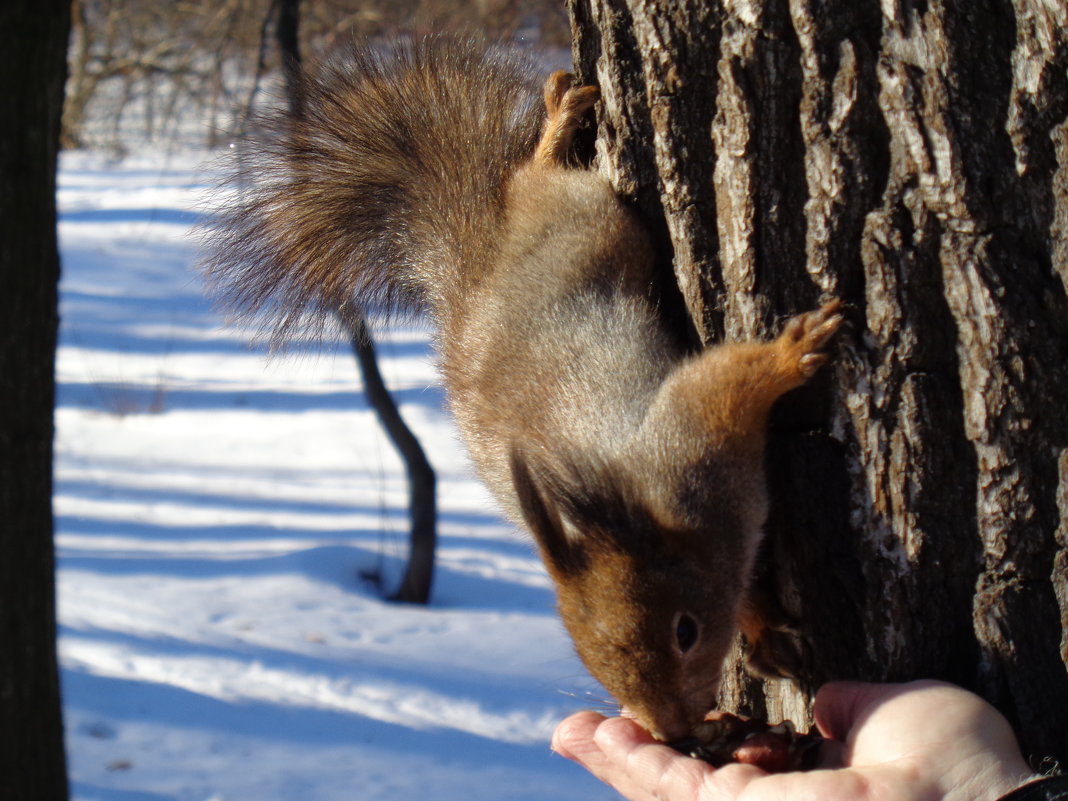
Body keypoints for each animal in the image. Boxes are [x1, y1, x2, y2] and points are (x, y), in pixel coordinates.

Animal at [203, 34, 841, 743]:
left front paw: (790, 353)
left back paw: (556, 128)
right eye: (586, 658)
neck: (653, 508)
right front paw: (761, 630)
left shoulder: (692, 433)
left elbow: (729, 378)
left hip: (589, 220)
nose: (671, 731)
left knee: (539, 176)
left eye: (685, 631)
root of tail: (483, 252)